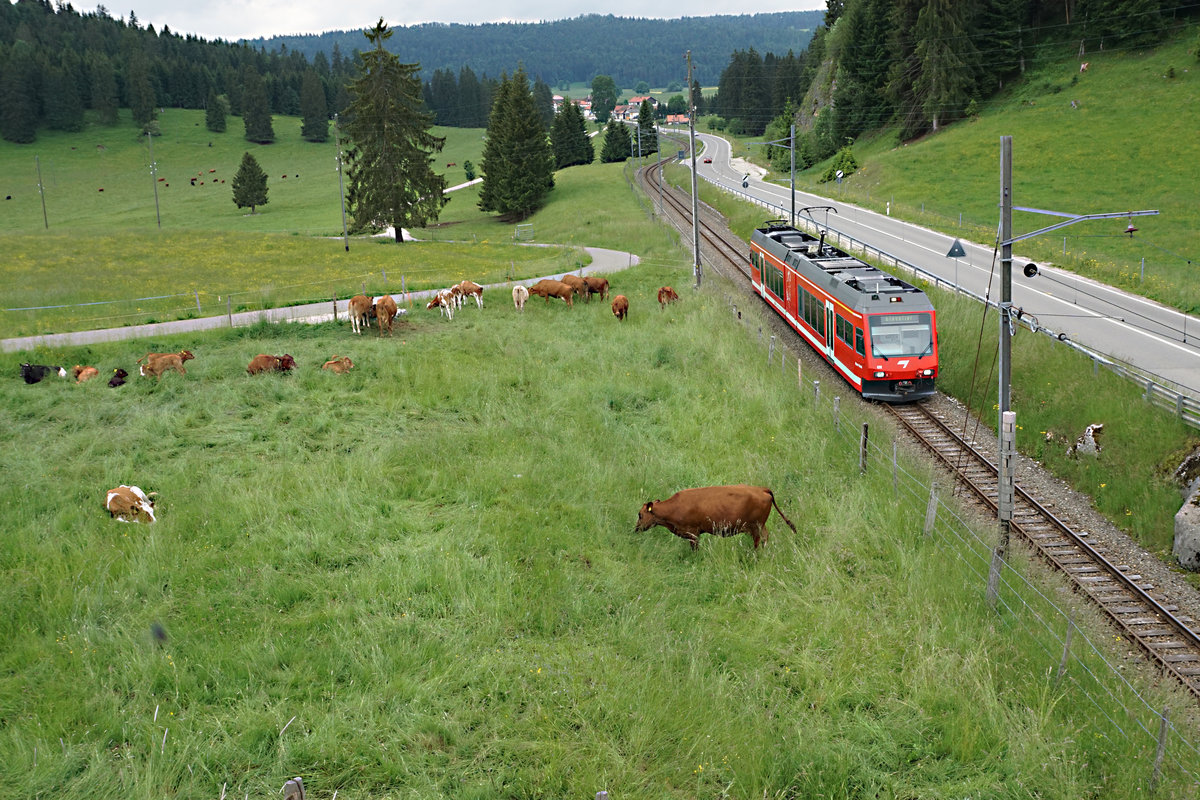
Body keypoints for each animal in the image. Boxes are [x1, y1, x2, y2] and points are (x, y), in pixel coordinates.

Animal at [638, 484, 796, 554]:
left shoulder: (693, 533)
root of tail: (762, 489)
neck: (674, 507)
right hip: (760, 526)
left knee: (759, 541)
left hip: (756, 527)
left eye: (640, 514)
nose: (636, 529)